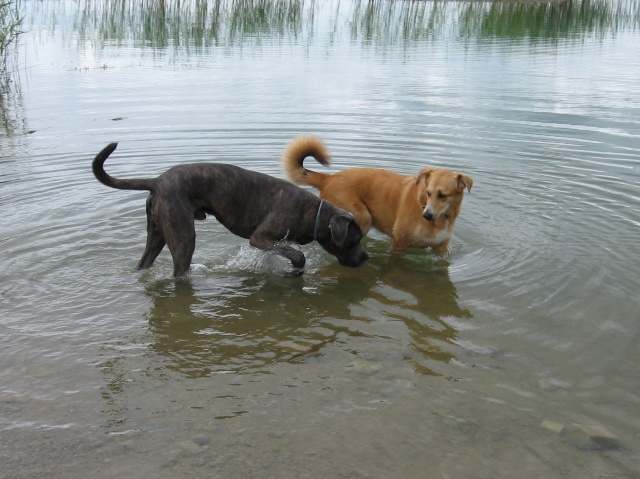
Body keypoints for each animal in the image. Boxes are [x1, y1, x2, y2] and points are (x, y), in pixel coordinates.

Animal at [92, 143, 369, 276]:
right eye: (354, 240)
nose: (367, 257)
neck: (314, 212)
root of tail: (157, 181)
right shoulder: (260, 238)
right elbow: (297, 255)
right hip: (183, 239)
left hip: (156, 236)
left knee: (144, 264)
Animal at [283, 135, 472, 254]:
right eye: (428, 192)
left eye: (443, 195)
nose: (426, 215)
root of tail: (329, 178)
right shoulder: (399, 243)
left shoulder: (441, 249)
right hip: (362, 217)